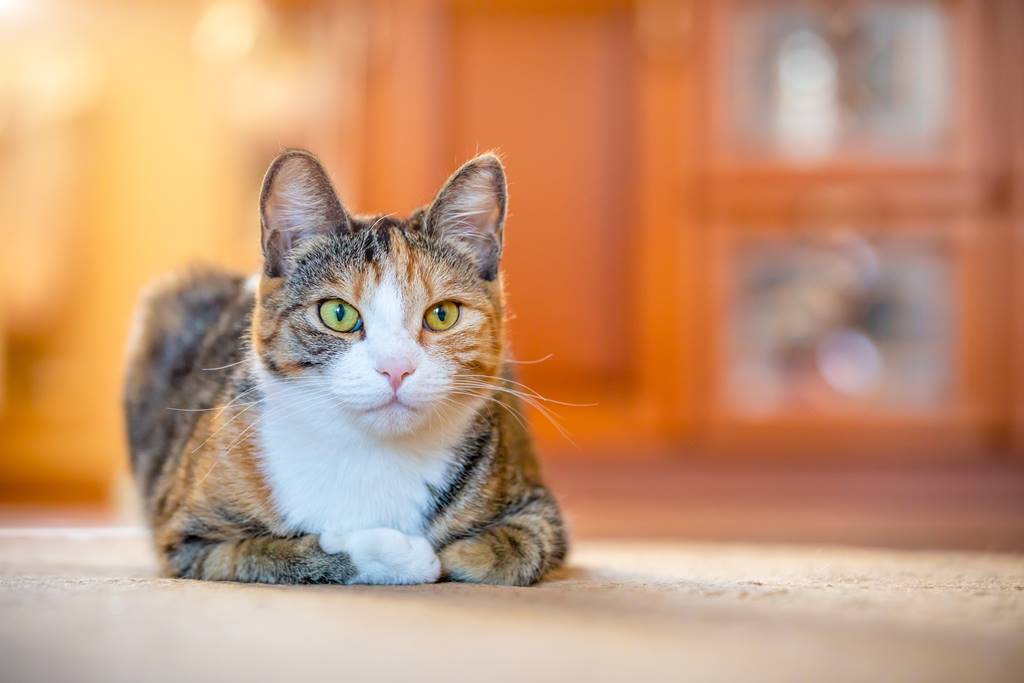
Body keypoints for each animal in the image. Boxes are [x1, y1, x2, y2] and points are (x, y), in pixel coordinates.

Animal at [123, 150, 569, 589]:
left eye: (442, 315)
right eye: (338, 313)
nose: (395, 369)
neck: (370, 453)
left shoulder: (542, 513)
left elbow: (510, 550)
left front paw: (450, 552)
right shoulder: (187, 537)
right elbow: (270, 552)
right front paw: (395, 555)